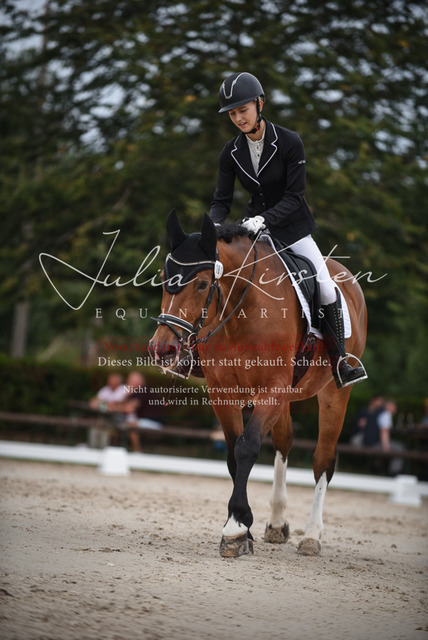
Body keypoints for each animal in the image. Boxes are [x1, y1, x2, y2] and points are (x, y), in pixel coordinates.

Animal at [148, 210, 367, 558]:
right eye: (161, 279)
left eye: (202, 284)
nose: (162, 350)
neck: (241, 309)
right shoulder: (223, 392)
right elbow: (232, 455)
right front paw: (243, 529)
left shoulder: (272, 388)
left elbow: (247, 446)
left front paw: (236, 527)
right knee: (284, 442)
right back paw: (277, 524)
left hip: (335, 392)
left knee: (323, 459)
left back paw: (312, 536)